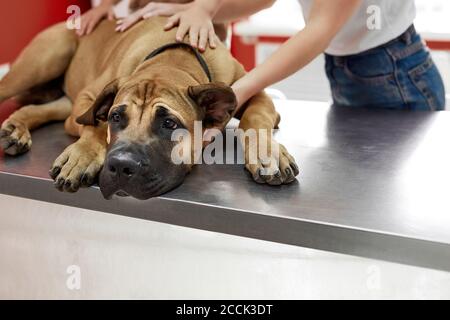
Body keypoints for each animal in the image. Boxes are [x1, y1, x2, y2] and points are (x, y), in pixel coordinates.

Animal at [0, 17, 298, 199]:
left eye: (169, 124)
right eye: (115, 117)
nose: (122, 166)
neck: (174, 60)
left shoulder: (256, 93)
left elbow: (255, 118)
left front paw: (268, 153)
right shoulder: (87, 98)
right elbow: (94, 123)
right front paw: (81, 156)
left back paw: (15, 129)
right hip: (46, 58)